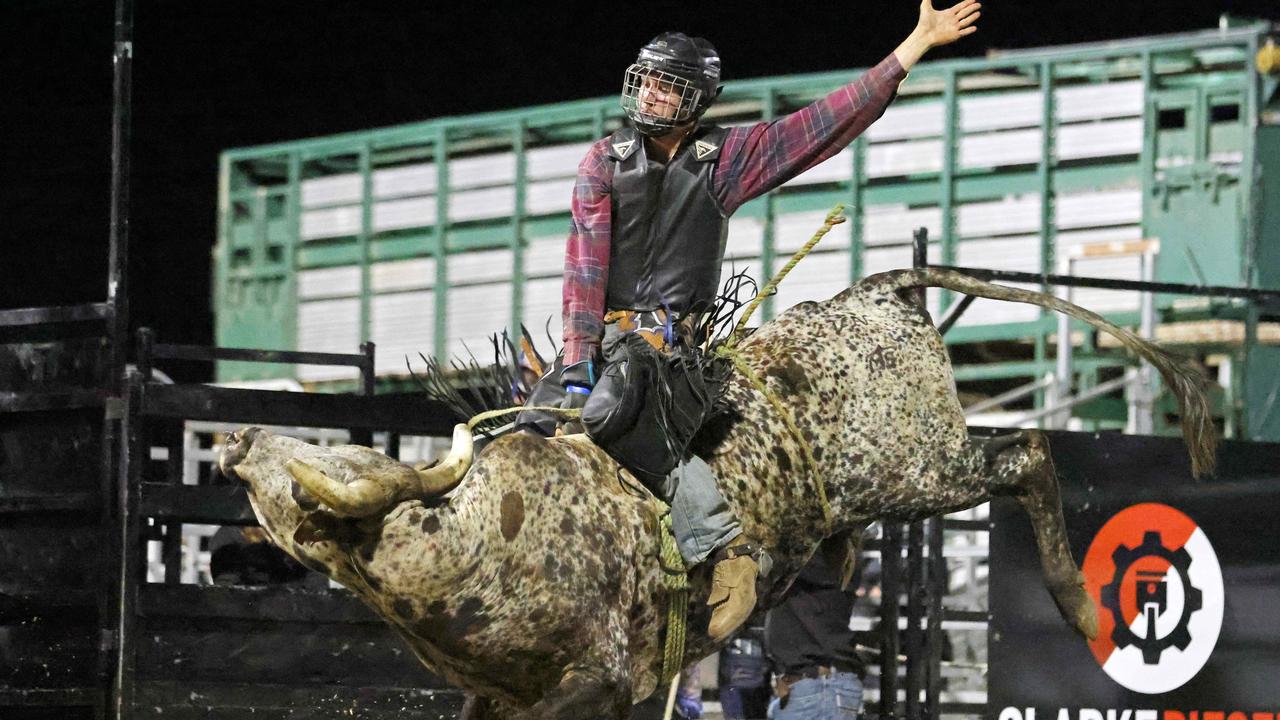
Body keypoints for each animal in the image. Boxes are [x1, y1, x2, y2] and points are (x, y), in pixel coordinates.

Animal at [217, 266, 1208, 712]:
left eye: (330, 468)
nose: (235, 437)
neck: (470, 539)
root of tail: (879, 292)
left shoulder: (596, 682)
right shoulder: (505, 699)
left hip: (916, 467)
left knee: (1029, 454)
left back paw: (1081, 605)